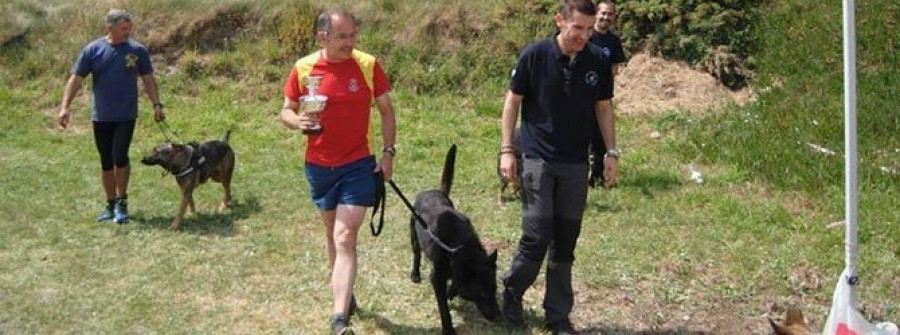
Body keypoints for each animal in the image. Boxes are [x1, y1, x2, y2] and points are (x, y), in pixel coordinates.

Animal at [412, 145, 502, 335]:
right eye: (481, 294)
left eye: (495, 289)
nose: (499, 317)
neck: (462, 248)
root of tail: (435, 191)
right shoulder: (437, 278)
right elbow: (444, 309)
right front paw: (448, 329)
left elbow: (455, 284)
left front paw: (451, 292)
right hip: (414, 236)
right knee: (416, 253)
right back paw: (415, 274)